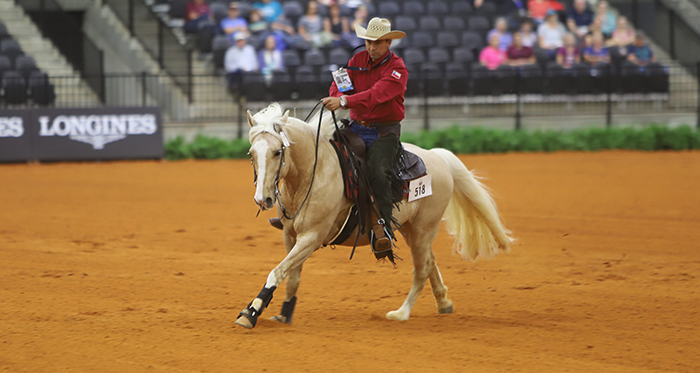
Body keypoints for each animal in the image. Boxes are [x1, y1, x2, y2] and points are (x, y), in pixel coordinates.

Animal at [237, 103, 516, 326]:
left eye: (277, 152)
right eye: (251, 153)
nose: (263, 199)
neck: (315, 172)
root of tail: (438, 157)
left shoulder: (311, 238)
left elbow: (277, 272)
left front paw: (250, 312)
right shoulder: (290, 235)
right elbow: (291, 276)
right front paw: (284, 314)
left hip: (425, 228)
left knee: (422, 268)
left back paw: (402, 313)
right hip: (410, 229)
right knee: (431, 261)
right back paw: (443, 302)